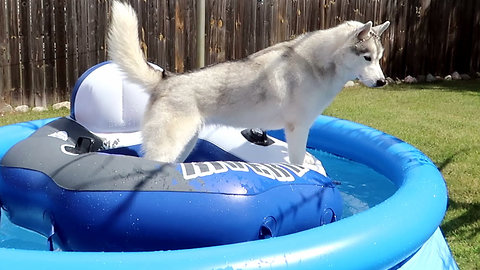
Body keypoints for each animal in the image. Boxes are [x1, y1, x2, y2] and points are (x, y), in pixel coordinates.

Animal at [107, 1, 388, 165]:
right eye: (367, 57)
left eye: (379, 58)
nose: (382, 81)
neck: (317, 65)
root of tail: (166, 79)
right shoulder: (298, 128)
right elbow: (297, 164)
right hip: (168, 147)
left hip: (185, 146)